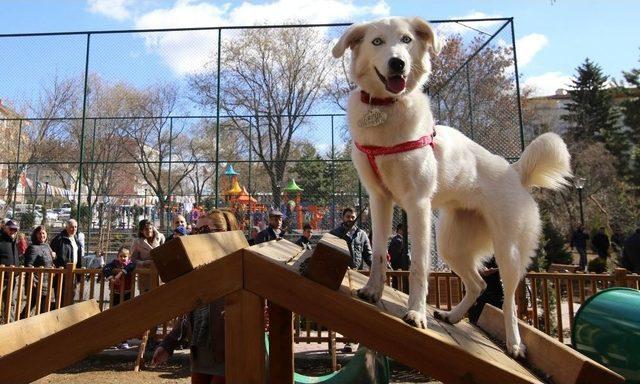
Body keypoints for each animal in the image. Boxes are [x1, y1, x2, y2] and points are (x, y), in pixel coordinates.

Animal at [332, 16, 572, 358]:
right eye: (377, 42)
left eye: (406, 40)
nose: (397, 63)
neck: (387, 108)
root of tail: (516, 173)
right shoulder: (379, 199)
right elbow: (378, 253)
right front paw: (372, 291)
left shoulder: (418, 204)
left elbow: (418, 266)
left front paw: (415, 313)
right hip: (452, 246)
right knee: (479, 284)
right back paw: (453, 316)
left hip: (508, 253)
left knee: (509, 302)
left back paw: (514, 343)